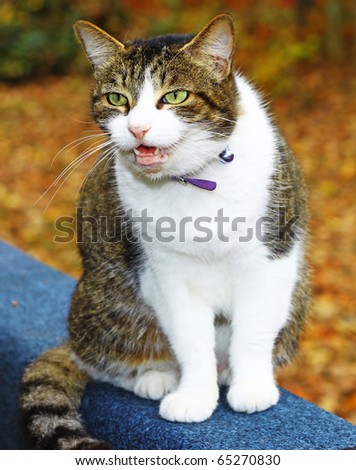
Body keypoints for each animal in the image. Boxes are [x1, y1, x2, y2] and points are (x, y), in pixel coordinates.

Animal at [19, 12, 310, 450]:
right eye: (117, 99)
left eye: (175, 96)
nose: (137, 129)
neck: (195, 182)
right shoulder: (167, 273)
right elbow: (190, 339)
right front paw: (194, 396)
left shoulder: (272, 258)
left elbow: (254, 331)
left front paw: (252, 386)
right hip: (103, 302)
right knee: (103, 358)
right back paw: (155, 376)